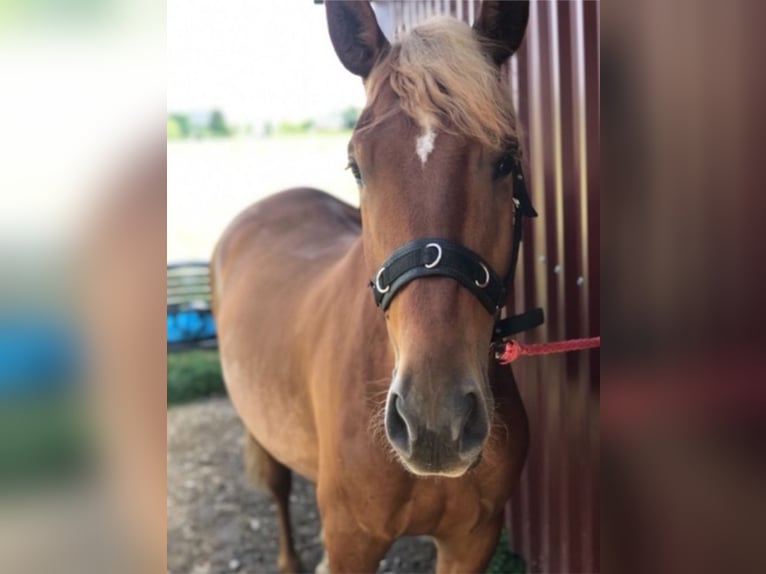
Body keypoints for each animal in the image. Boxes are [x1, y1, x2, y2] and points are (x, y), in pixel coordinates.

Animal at [212, 2, 536, 572]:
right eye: (357, 166)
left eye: (506, 159)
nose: (435, 421)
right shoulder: (350, 540)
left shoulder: (473, 539)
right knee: (277, 487)